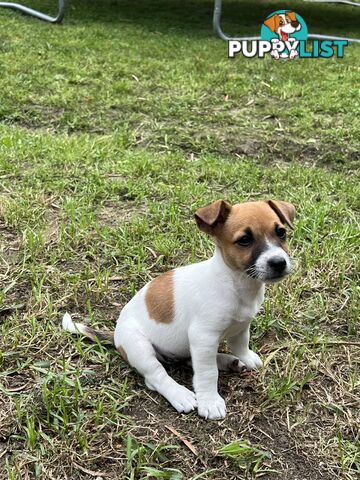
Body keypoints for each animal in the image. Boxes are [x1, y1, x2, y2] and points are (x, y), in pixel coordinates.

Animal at [63, 199, 296, 420]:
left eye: (281, 232)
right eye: (245, 240)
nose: (278, 262)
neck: (235, 283)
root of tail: (115, 335)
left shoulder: (240, 326)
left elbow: (240, 344)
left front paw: (245, 357)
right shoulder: (203, 337)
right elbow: (207, 373)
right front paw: (210, 401)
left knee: (189, 360)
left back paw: (230, 361)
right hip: (140, 348)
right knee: (156, 376)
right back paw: (180, 394)